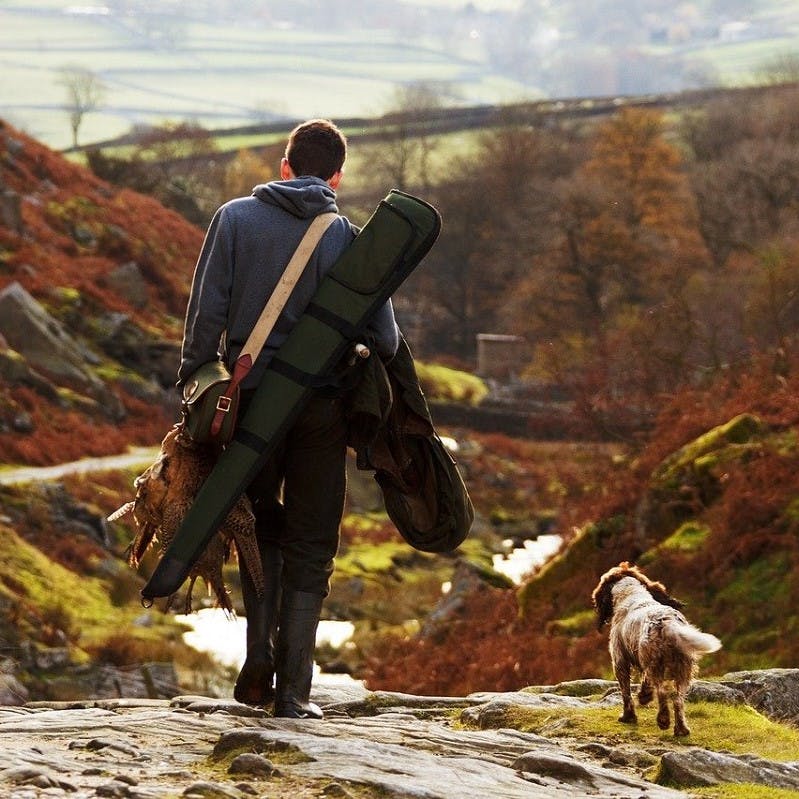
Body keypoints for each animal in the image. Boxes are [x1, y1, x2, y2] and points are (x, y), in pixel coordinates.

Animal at [592, 564, 720, 736]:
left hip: (657, 666)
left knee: (662, 693)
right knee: (678, 699)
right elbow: (645, 682)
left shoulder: (620, 662)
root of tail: (667, 623)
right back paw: (681, 729)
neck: (631, 594)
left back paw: (663, 720)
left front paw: (628, 716)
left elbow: (626, 693)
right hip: (683, 669)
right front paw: (644, 697)